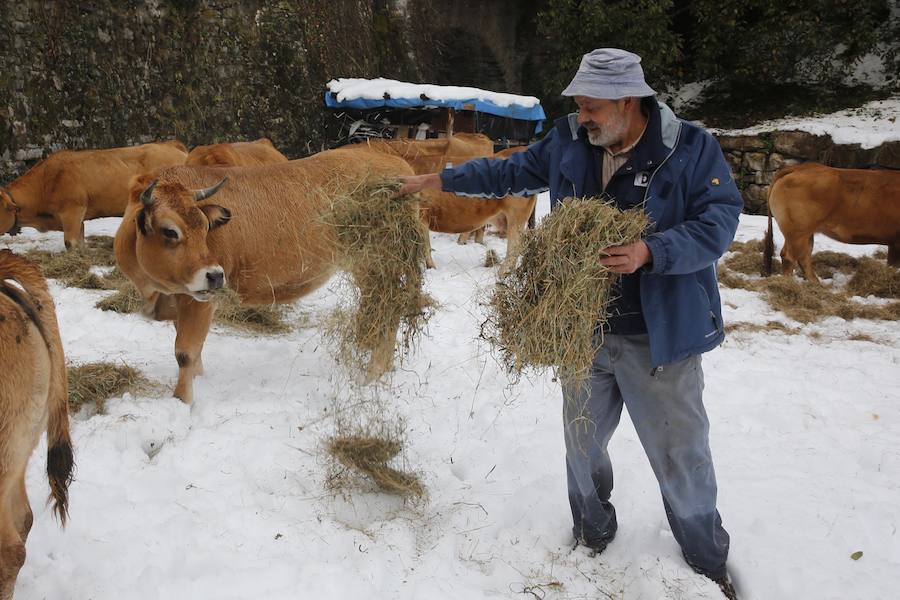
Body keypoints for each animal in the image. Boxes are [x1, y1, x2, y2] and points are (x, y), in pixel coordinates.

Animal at [113, 145, 418, 404]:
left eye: (205, 227)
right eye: (170, 231)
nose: (215, 276)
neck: (155, 288)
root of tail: (392, 160)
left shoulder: (200, 300)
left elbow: (185, 351)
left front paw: (183, 400)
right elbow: (191, 345)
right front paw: (200, 379)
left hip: (379, 264)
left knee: (389, 311)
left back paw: (374, 373)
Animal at [360, 135, 540, 274]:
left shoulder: (421, 217)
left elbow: (424, 245)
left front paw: (429, 268)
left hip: (516, 217)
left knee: (514, 247)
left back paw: (503, 273)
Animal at [768, 161, 900, 280]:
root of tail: (801, 167)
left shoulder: (893, 244)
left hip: (805, 233)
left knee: (804, 257)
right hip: (798, 232)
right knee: (789, 257)